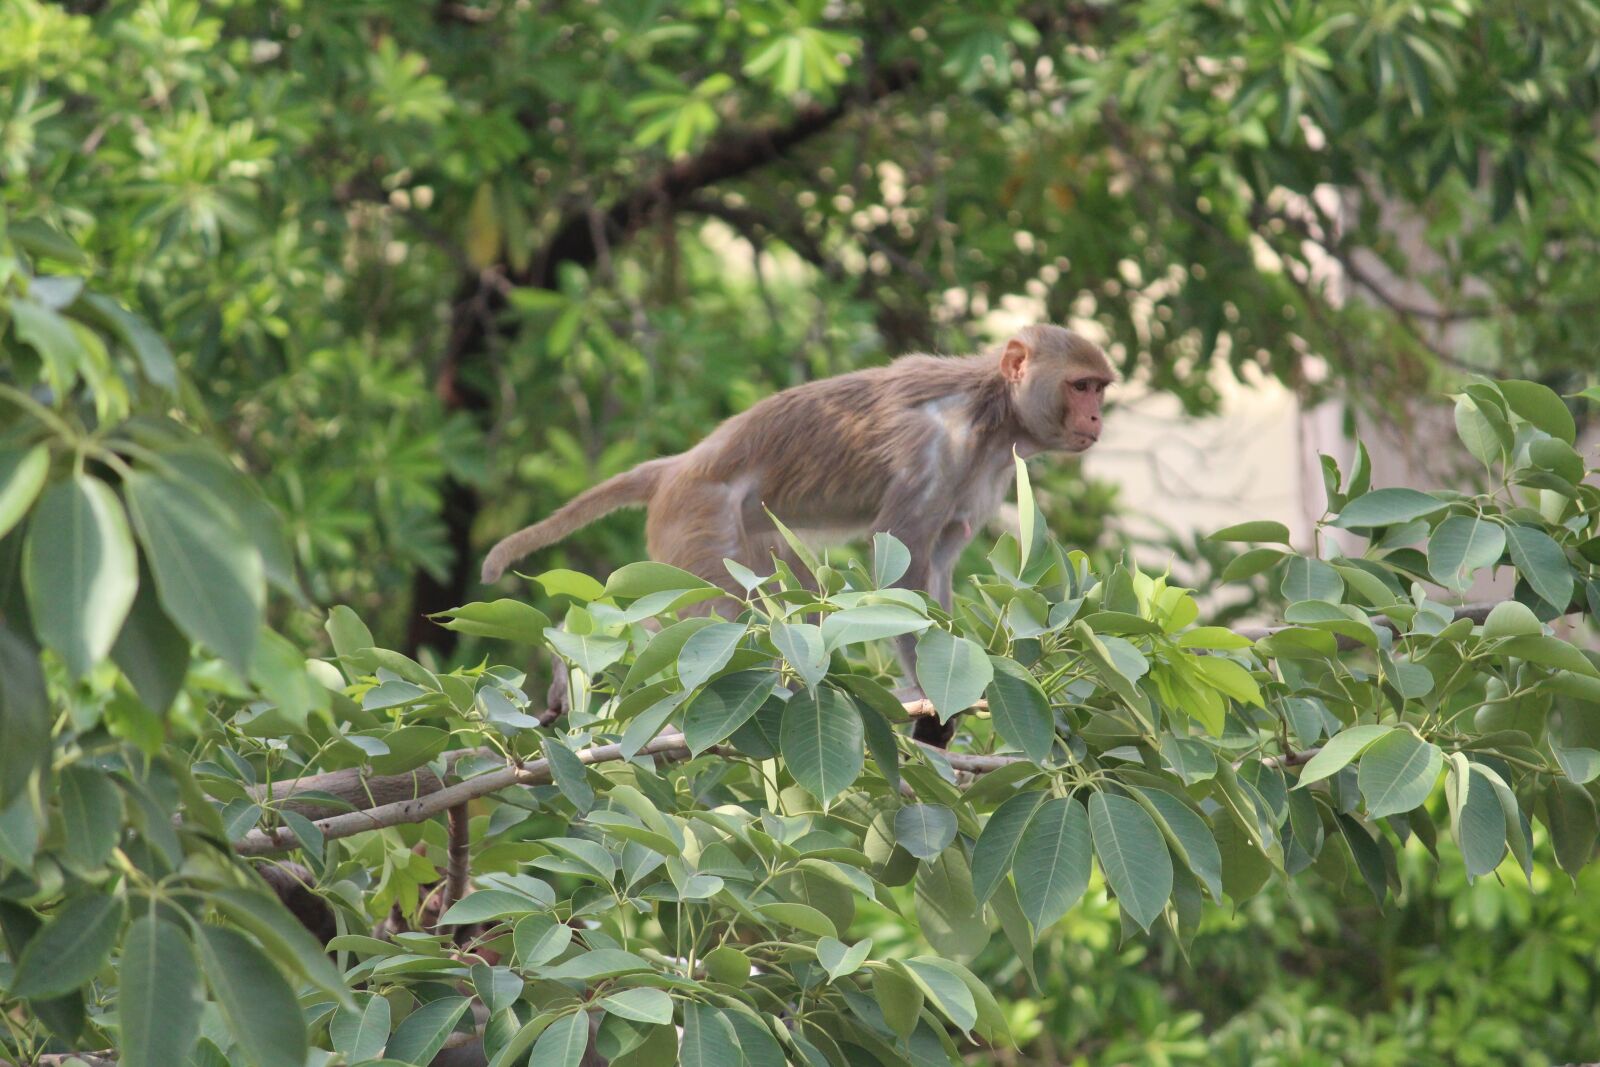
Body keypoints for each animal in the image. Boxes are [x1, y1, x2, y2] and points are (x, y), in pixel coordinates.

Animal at [482, 324, 1115, 746]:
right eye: (1081, 386)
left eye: (1099, 389)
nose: (1097, 420)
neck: (992, 411)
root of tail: (679, 466)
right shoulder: (936, 448)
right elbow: (904, 561)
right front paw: (934, 706)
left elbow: (938, 563)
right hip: (699, 523)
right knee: (713, 617)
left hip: (752, 534)